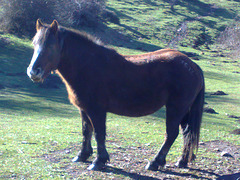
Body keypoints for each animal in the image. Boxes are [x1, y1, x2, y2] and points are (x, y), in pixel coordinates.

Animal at [27, 19, 204, 170]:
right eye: (34, 43)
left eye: (50, 46)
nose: (33, 72)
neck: (88, 65)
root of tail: (193, 65)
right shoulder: (84, 109)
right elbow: (86, 130)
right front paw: (82, 155)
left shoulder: (97, 110)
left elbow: (99, 133)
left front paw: (99, 161)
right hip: (183, 110)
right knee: (186, 132)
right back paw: (182, 161)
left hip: (176, 108)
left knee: (172, 134)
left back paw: (155, 162)